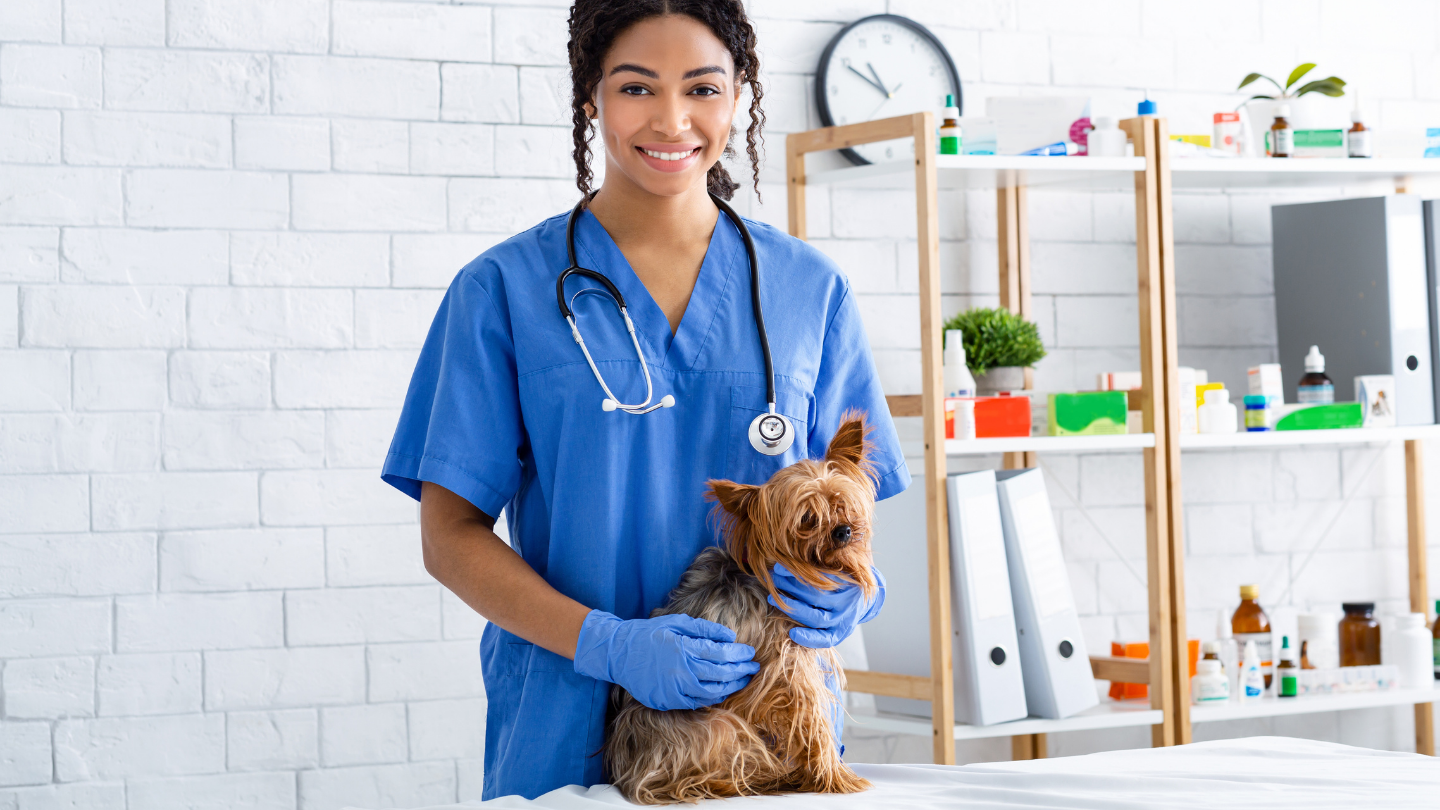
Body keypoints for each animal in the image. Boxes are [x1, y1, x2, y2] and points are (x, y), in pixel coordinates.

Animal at [604, 412, 875, 801]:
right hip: (719, 726)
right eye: (807, 519)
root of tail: (626, 770)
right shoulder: (785, 671)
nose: (843, 532)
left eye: (841, 503)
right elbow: (812, 723)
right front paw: (836, 777)